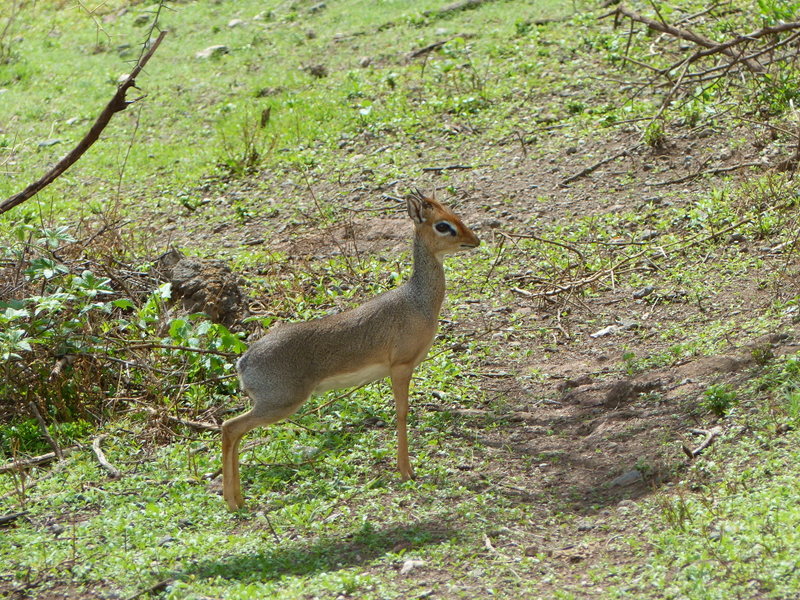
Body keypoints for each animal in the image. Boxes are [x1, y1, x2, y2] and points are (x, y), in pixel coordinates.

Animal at [222, 190, 478, 508]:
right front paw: (406, 471)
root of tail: (243, 361)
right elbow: (402, 413)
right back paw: (234, 502)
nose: (475, 240)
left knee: (232, 431)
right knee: (230, 427)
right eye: (443, 225)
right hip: (279, 403)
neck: (418, 301)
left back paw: (238, 500)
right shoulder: (401, 367)